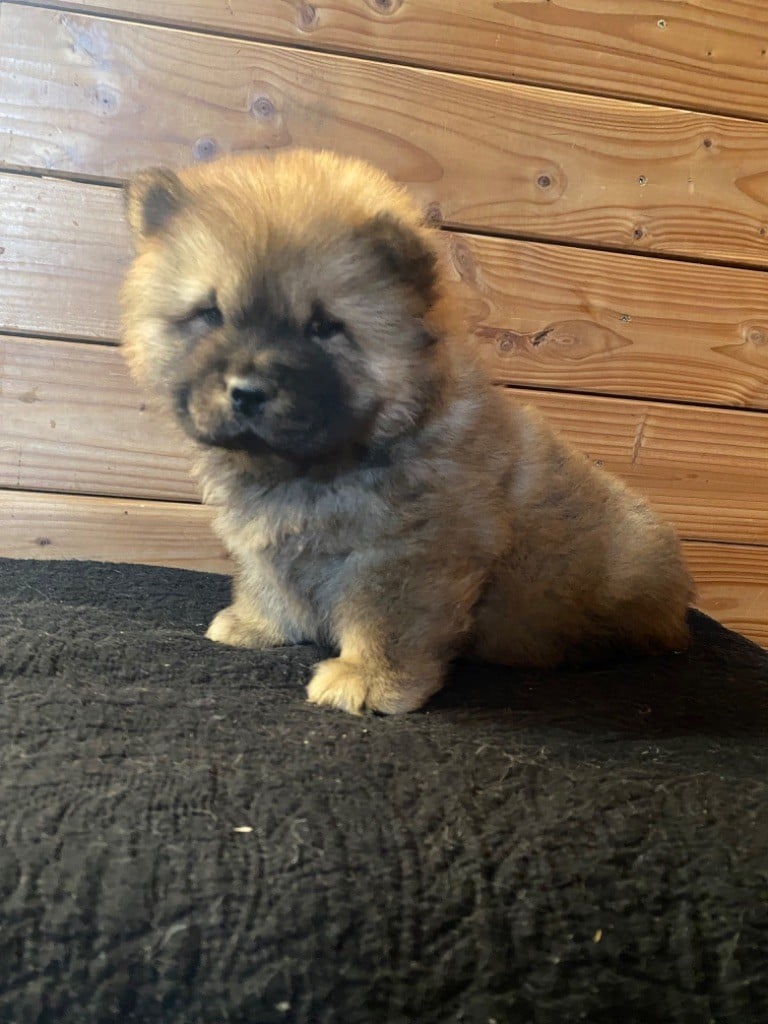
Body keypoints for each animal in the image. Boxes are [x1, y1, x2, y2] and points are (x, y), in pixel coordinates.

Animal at [121, 149, 693, 714]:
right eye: (210, 314)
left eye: (323, 327)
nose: (247, 390)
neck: (314, 468)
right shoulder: (271, 540)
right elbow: (267, 583)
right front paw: (256, 625)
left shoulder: (409, 549)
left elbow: (385, 621)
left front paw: (366, 680)